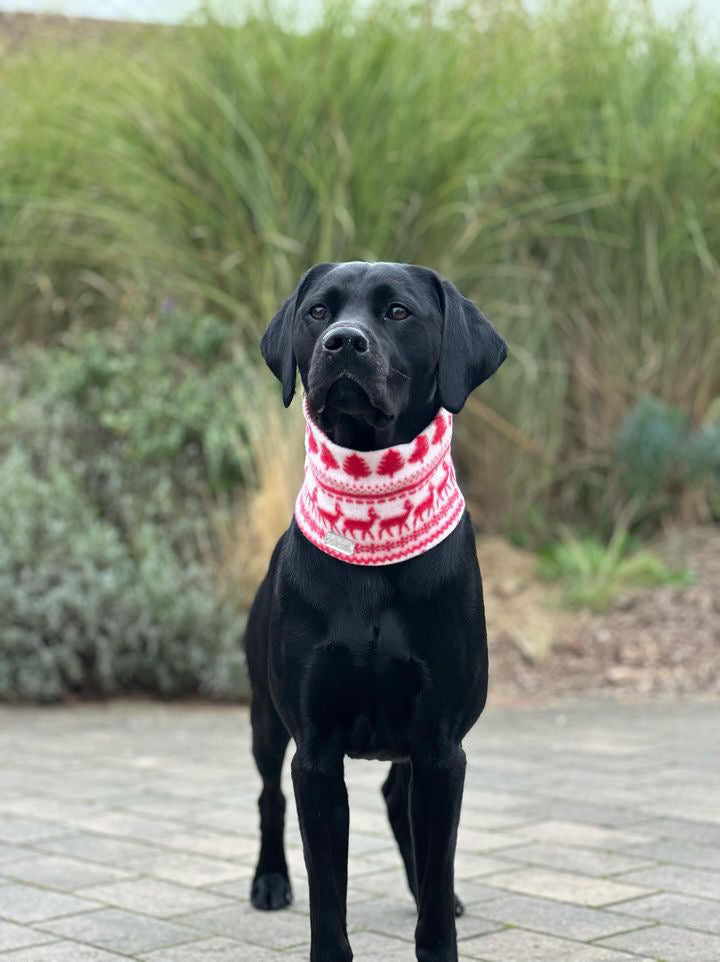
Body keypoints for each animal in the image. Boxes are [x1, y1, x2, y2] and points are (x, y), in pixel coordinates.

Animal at [248, 258, 506, 956]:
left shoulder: (442, 747)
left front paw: (436, 918)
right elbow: (327, 897)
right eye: (318, 311)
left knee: (399, 802)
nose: (344, 342)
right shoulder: (314, 751)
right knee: (268, 797)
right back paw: (269, 881)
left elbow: (438, 877)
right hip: (264, 716)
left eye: (397, 312)